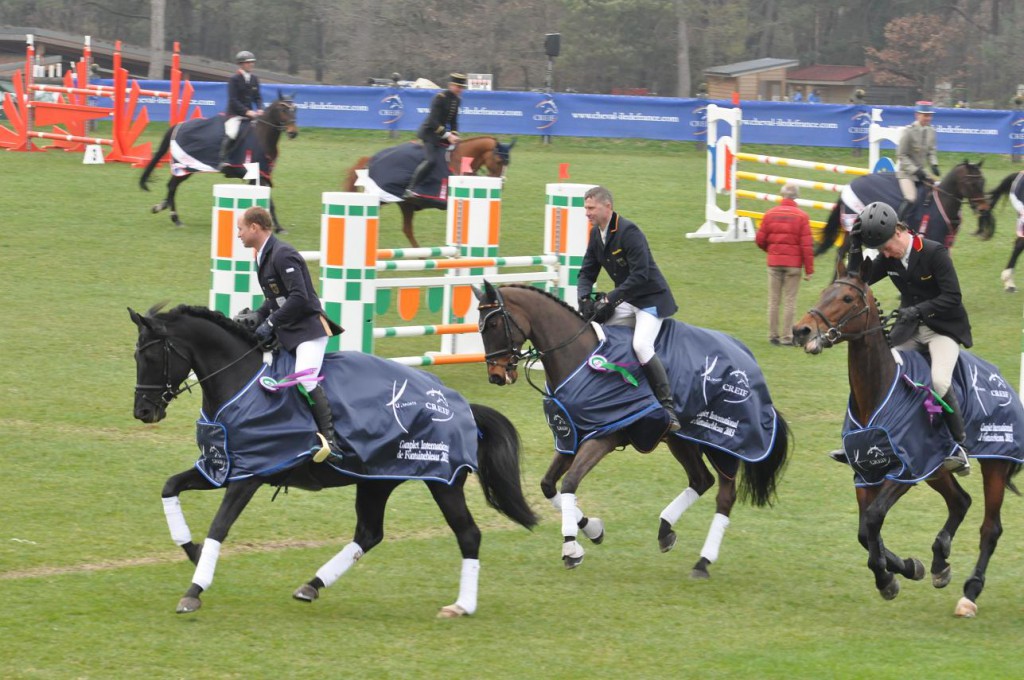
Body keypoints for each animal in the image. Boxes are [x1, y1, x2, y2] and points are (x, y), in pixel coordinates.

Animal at [128, 303, 536, 614]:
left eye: (151, 355)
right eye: (136, 355)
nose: (144, 412)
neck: (241, 384)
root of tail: (460, 404)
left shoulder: (249, 476)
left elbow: (219, 526)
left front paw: (194, 590)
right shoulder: (219, 467)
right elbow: (169, 488)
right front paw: (192, 551)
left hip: (443, 481)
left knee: (468, 534)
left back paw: (461, 606)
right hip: (377, 479)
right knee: (369, 534)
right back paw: (311, 585)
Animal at [137, 93, 296, 232]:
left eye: (295, 109)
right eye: (283, 109)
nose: (293, 133)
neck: (261, 138)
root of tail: (179, 126)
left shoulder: (262, 175)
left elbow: (267, 201)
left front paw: (276, 227)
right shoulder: (254, 175)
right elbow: (269, 202)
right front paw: (278, 228)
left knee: (171, 186)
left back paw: (162, 207)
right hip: (185, 167)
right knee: (172, 187)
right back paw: (175, 219)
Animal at [344, 135, 516, 246]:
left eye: (509, 163)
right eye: (499, 161)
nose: (501, 184)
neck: (459, 160)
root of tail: (372, 159)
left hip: (405, 203)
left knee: (407, 229)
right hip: (383, 196)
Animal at [790, 260, 1024, 614]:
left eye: (847, 298)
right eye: (823, 292)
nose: (801, 331)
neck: (876, 391)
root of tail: (1003, 381)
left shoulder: (906, 471)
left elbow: (874, 519)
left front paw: (887, 578)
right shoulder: (868, 473)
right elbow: (864, 532)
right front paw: (906, 568)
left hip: (993, 463)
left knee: (990, 528)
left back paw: (970, 593)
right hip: (937, 469)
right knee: (960, 502)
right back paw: (940, 563)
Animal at [815, 161, 991, 258]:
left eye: (983, 181)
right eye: (970, 183)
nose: (983, 208)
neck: (942, 201)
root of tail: (848, 186)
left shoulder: (944, 243)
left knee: (842, 252)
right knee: (843, 252)